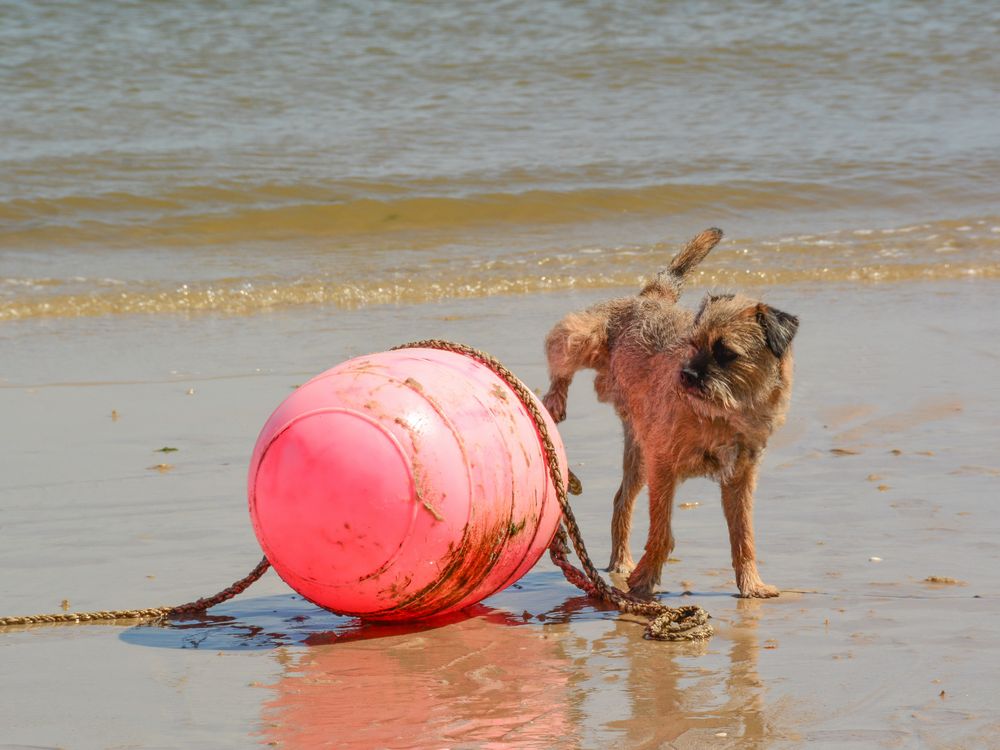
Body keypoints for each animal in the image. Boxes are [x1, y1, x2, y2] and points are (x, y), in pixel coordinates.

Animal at [540, 228, 796, 600]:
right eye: (693, 343)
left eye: (726, 353)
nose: (686, 375)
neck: (722, 414)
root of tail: (652, 297)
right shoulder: (663, 467)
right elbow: (661, 532)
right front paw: (644, 581)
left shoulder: (739, 479)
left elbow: (743, 535)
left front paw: (751, 584)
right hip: (582, 336)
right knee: (560, 359)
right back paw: (554, 400)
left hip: (638, 457)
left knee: (621, 500)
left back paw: (621, 561)